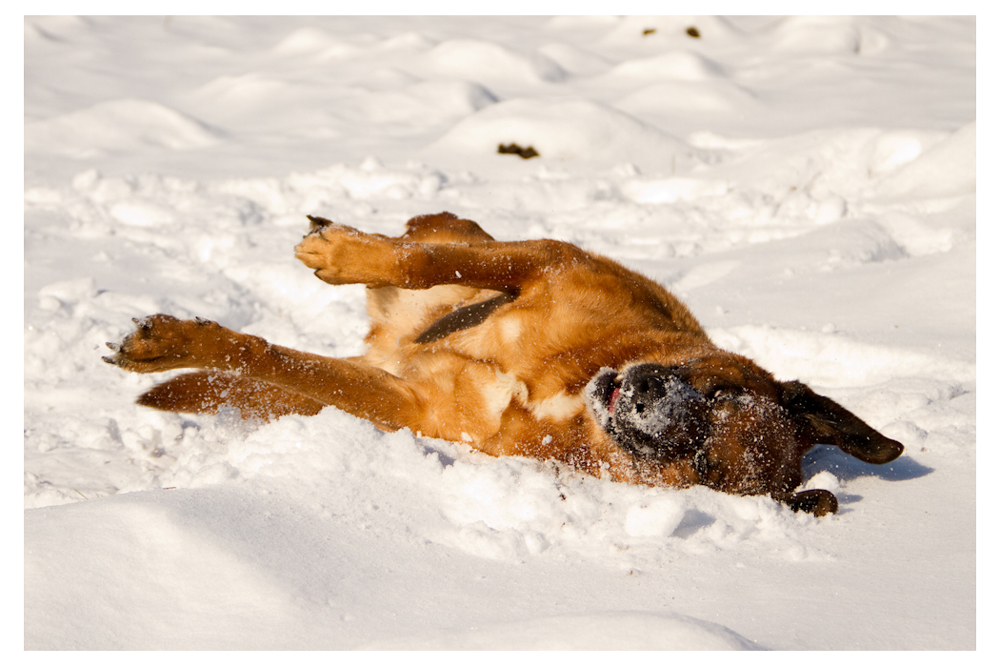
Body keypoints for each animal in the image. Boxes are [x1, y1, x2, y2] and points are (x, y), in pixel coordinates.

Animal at [105, 213, 904, 516]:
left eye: (705, 466)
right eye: (720, 390)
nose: (645, 391)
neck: (566, 391)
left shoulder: (406, 404)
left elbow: (279, 361)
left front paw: (173, 342)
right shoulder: (555, 260)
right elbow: (424, 258)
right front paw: (344, 253)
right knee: (442, 231)